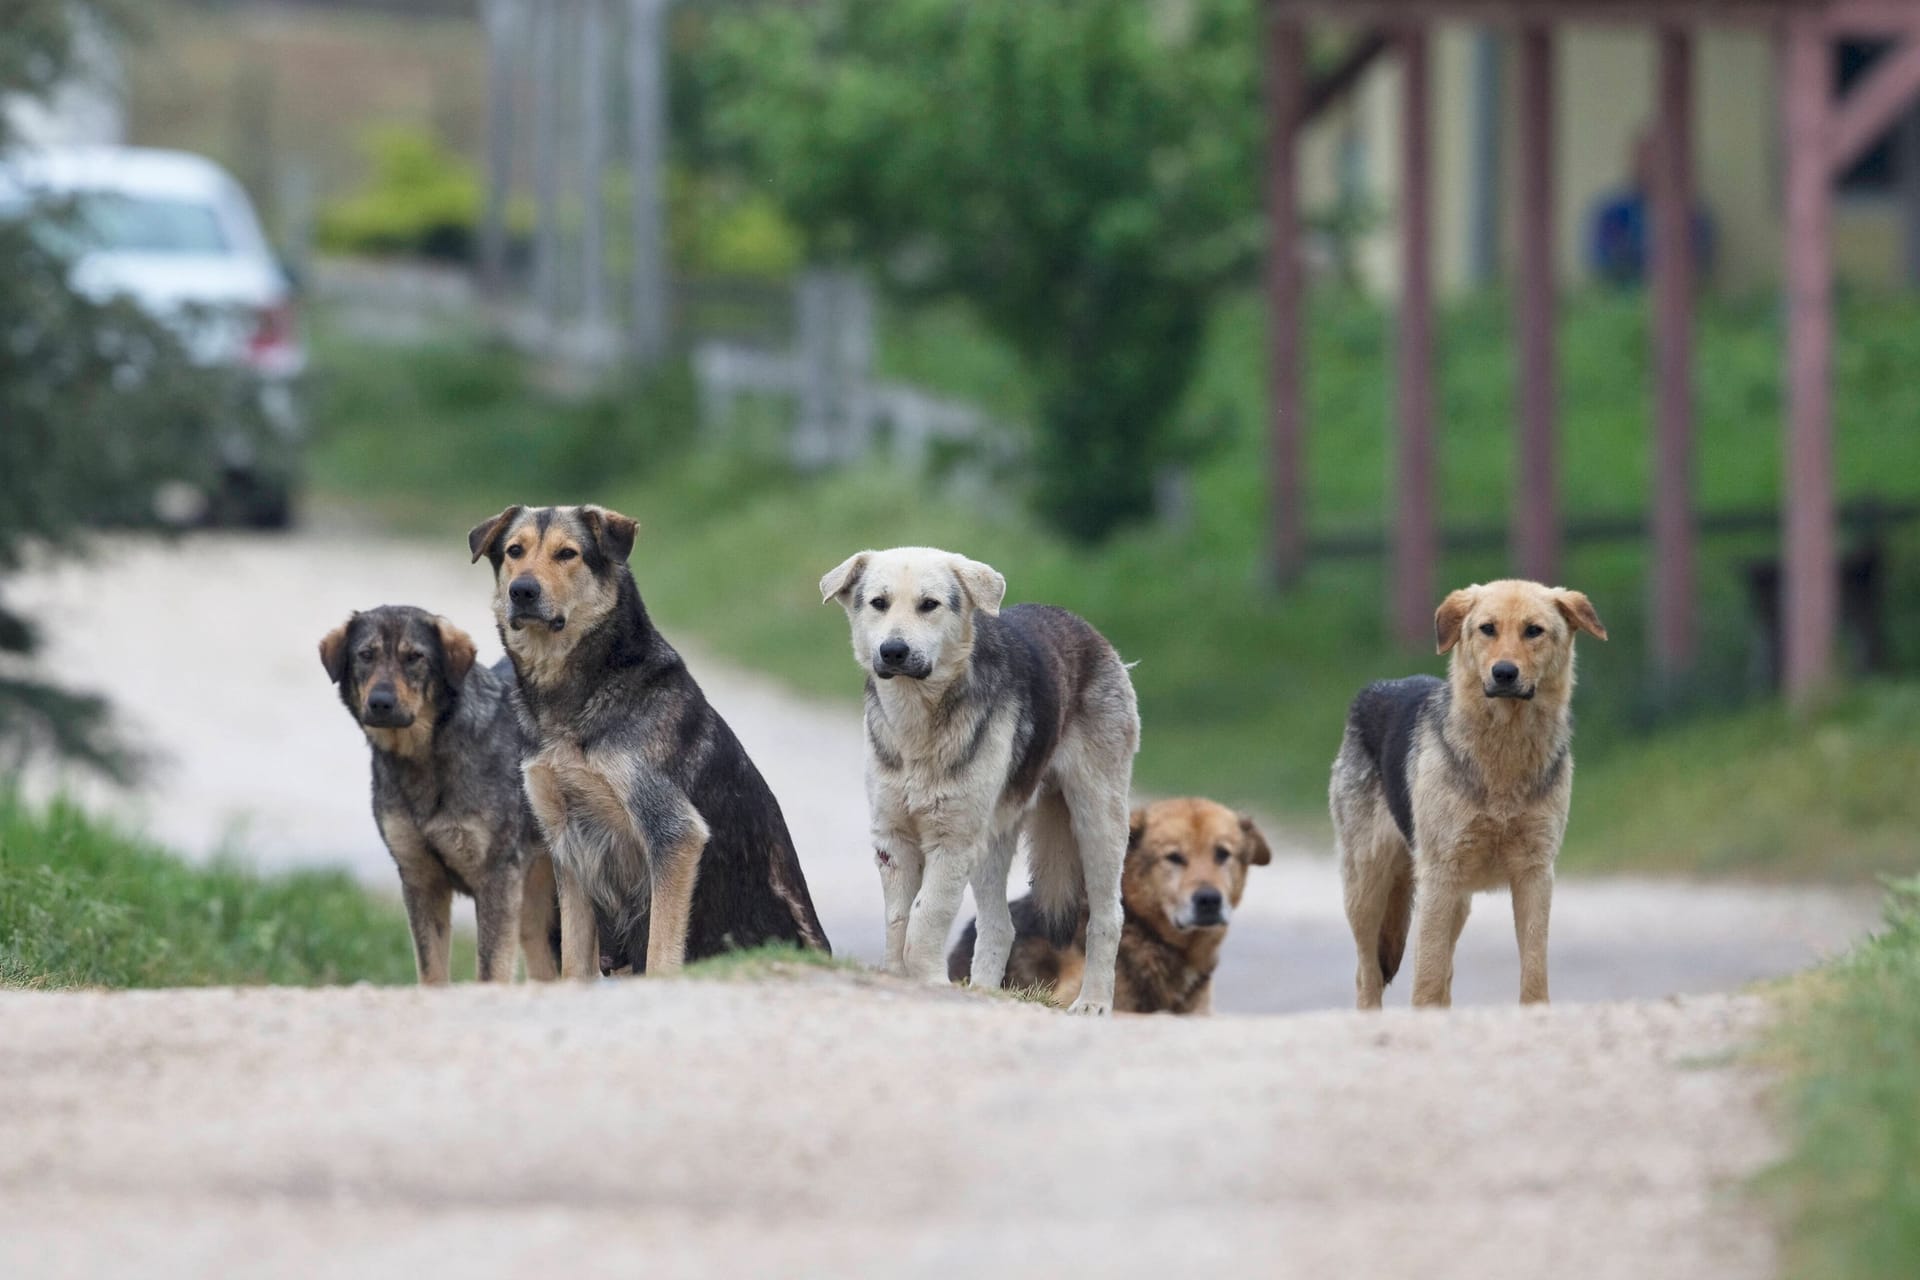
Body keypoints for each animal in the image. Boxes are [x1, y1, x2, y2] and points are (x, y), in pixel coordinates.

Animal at [318, 606, 560, 990]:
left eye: (414, 658)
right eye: (365, 655)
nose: (381, 703)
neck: (425, 757)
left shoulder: (496, 879)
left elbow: (490, 970)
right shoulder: (420, 879)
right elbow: (431, 971)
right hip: (534, 908)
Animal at [470, 502, 833, 982]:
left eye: (568, 554)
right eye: (515, 551)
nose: (522, 591)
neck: (571, 697)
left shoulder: (673, 833)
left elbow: (661, 949)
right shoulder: (567, 846)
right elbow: (574, 962)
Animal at [814, 545, 1136, 1013]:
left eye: (929, 604)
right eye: (879, 603)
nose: (893, 651)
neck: (918, 723)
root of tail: (1081, 625)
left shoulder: (951, 842)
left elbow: (926, 918)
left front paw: (930, 982)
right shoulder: (893, 841)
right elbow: (897, 922)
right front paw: (896, 977)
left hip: (1096, 820)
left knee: (1107, 917)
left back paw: (1094, 1002)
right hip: (992, 841)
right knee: (999, 925)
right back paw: (984, 991)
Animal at [1320, 579, 1605, 1013]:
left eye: (1533, 631)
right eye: (1487, 629)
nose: (1504, 673)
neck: (1504, 754)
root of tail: (1376, 688)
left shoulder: (1535, 874)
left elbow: (1533, 969)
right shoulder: (1441, 874)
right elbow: (1425, 975)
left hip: (1454, 902)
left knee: (1445, 974)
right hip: (1368, 889)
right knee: (1368, 975)